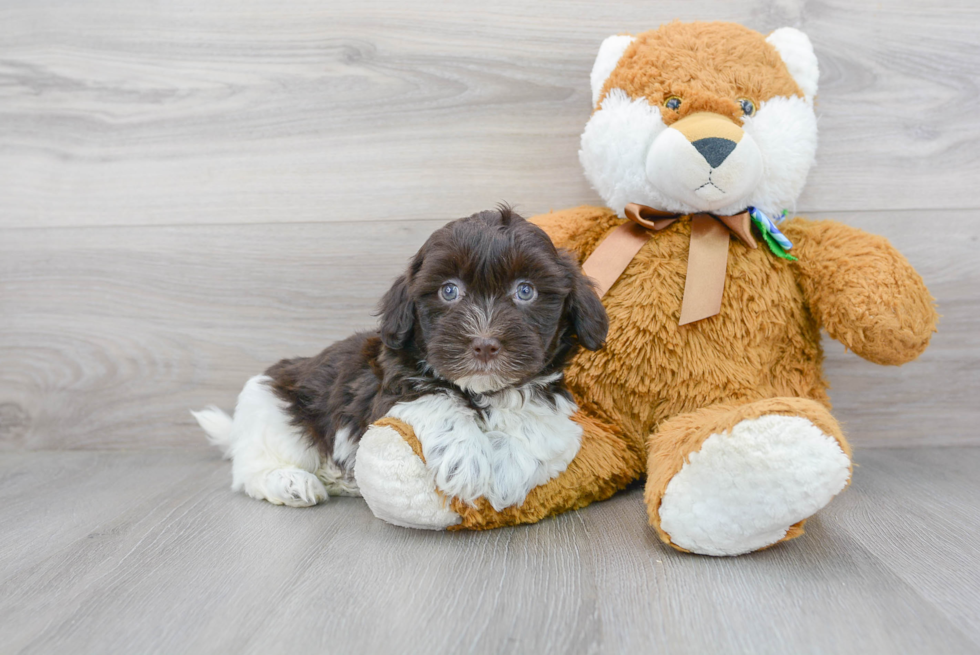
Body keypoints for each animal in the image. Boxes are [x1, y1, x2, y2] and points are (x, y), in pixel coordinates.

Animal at [190, 209, 604, 512]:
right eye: (449, 291)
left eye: (525, 291)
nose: (484, 344)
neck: (483, 392)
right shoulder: (389, 391)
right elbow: (435, 399)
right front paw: (467, 461)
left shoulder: (555, 408)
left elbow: (540, 428)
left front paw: (503, 471)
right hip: (273, 412)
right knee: (250, 469)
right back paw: (291, 482)